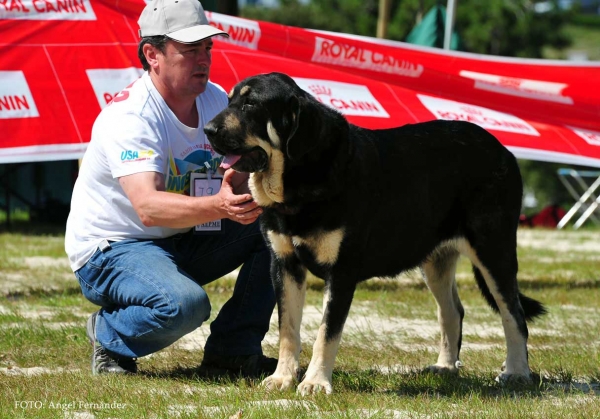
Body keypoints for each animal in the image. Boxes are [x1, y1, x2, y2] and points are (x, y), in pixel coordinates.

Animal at [204, 73, 548, 398]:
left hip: (493, 251)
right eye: (230, 100)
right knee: (453, 311)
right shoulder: (284, 265)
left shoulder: (341, 272)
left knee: (514, 315)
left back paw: (517, 372)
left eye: (251, 104)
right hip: (435, 261)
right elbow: (288, 329)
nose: (208, 129)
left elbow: (326, 333)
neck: (299, 178)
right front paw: (282, 379)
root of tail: (502, 149)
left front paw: (315, 383)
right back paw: (446, 366)